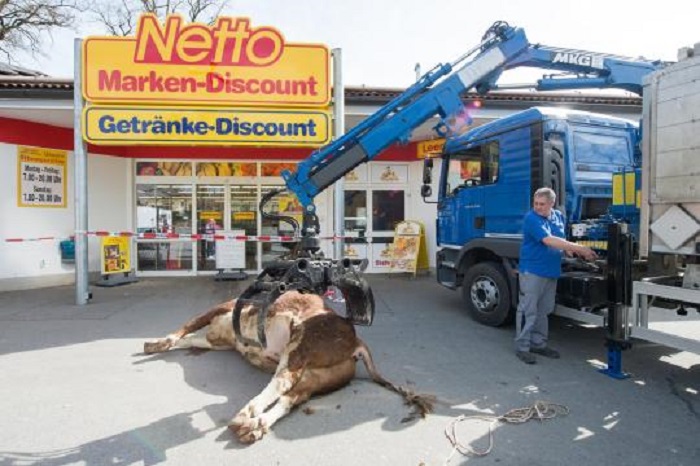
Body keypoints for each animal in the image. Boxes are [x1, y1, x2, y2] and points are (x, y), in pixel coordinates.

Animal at [144, 292, 434, 444]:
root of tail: (356, 341)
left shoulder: (220, 309)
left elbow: (185, 328)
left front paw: (157, 343)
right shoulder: (217, 341)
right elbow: (189, 339)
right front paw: (157, 345)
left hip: (297, 347)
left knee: (280, 383)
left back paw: (246, 416)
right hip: (318, 378)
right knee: (291, 398)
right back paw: (255, 425)